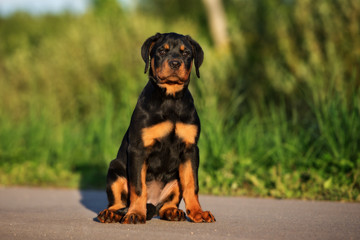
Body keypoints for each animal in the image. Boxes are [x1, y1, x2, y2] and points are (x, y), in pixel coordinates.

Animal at [97, 32, 215, 224]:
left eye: (186, 53)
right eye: (161, 51)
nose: (175, 63)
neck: (170, 98)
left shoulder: (190, 149)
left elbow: (192, 184)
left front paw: (198, 212)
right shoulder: (138, 148)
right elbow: (138, 187)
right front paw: (136, 213)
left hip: (175, 180)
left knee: (167, 203)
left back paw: (172, 211)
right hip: (115, 169)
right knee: (117, 202)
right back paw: (111, 213)